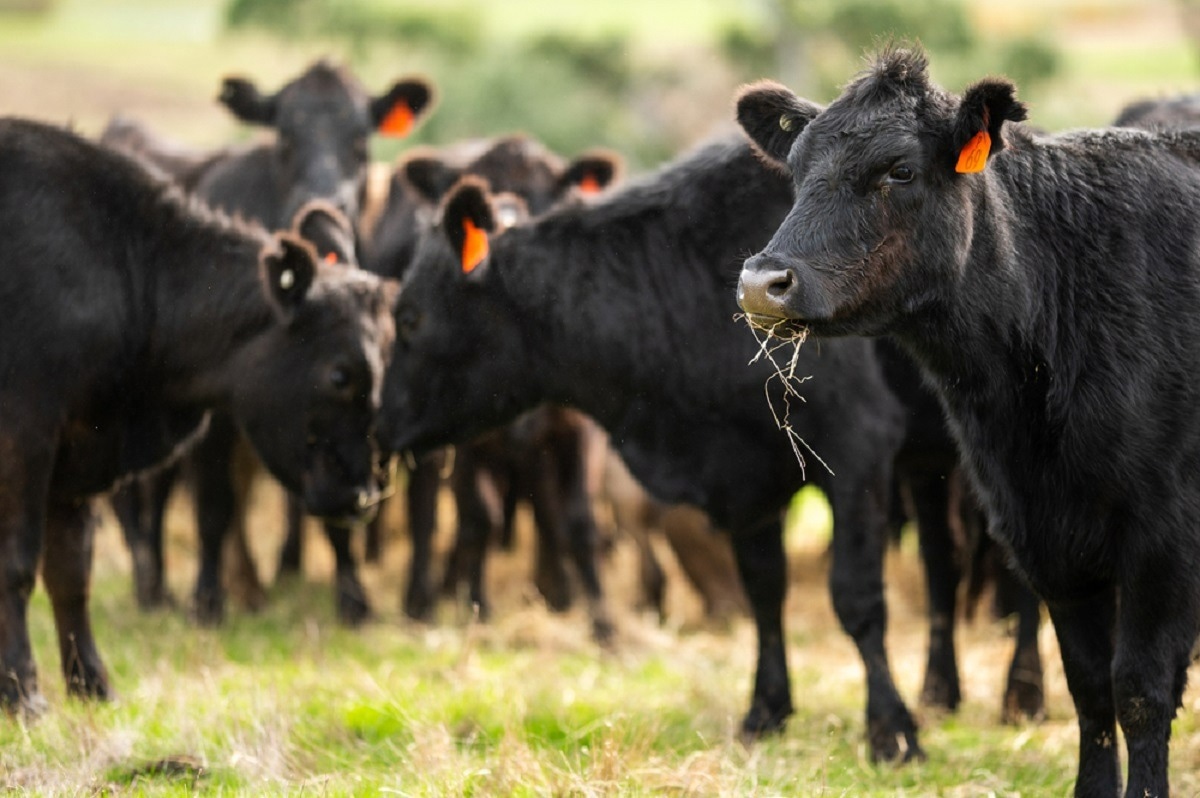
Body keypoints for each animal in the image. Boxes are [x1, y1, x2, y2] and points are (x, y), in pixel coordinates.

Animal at [0, 117, 397, 713]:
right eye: (339, 374)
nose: (363, 496)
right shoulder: (26, 436)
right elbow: (19, 564)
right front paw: (23, 694)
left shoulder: (79, 453)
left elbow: (71, 571)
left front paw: (92, 684)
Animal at [102, 60, 433, 625]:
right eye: (283, 136)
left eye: (361, 140)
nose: (324, 197)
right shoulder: (212, 417)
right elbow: (215, 505)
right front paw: (208, 599)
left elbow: (332, 508)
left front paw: (352, 599)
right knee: (146, 496)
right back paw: (157, 586)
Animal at [376, 134, 927, 759]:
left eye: (409, 317)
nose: (379, 422)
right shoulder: (748, 478)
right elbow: (764, 592)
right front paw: (766, 709)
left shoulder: (859, 449)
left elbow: (857, 597)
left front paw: (891, 728)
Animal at [736, 45, 1200, 796]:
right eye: (798, 169)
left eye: (899, 170)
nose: (761, 283)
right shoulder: (1044, 532)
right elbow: (1090, 687)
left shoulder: (1164, 537)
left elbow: (1140, 690)